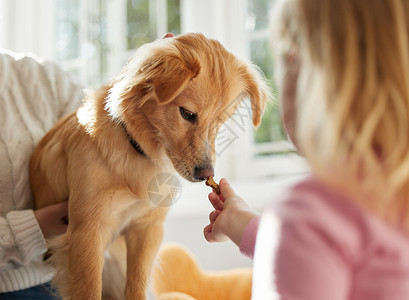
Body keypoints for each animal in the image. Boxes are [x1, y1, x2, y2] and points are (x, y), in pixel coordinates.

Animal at [30, 32, 270, 300]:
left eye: (221, 121)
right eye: (187, 114)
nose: (207, 174)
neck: (137, 151)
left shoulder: (147, 230)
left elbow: (136, 285)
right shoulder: (87, 234)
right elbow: (89, 289)